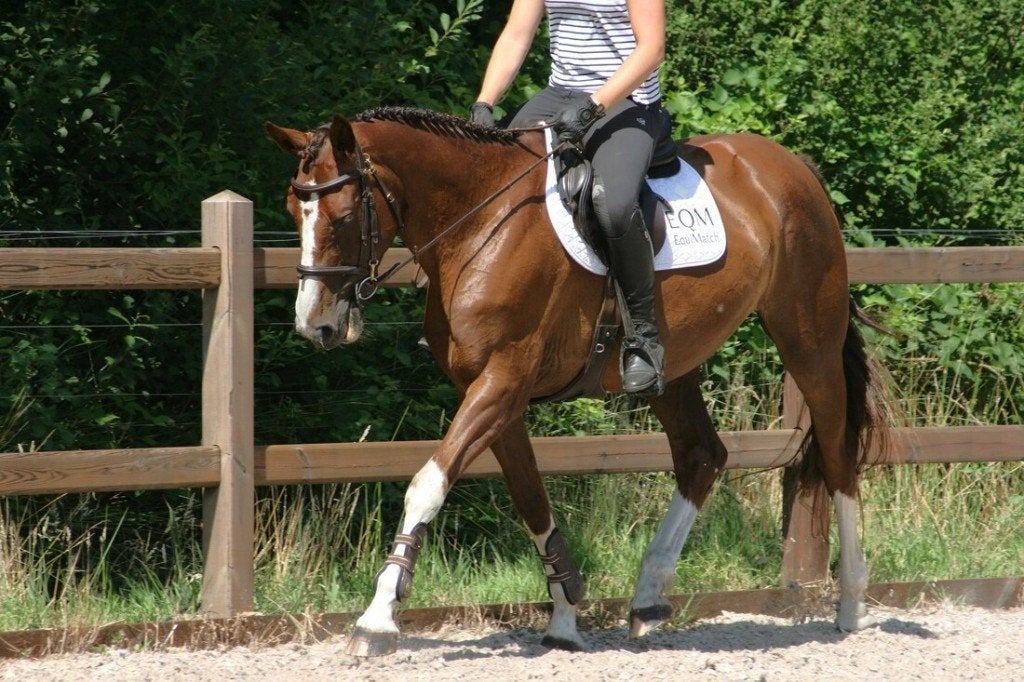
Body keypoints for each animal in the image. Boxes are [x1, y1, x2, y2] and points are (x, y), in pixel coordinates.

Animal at [266, 107, 888, 657]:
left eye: (343, 216)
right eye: (294, 211)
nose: (314, 324)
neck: (480, 224)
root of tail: (790, 165)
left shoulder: (503, 381)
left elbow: (427, 484)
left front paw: (376, 620)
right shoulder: (494, 393)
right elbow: (531, 500)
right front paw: (565, 615)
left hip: (808, 340)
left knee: (836, 452)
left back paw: (852, 604)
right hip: (672, 366)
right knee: (701, 455)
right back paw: (648, 598)